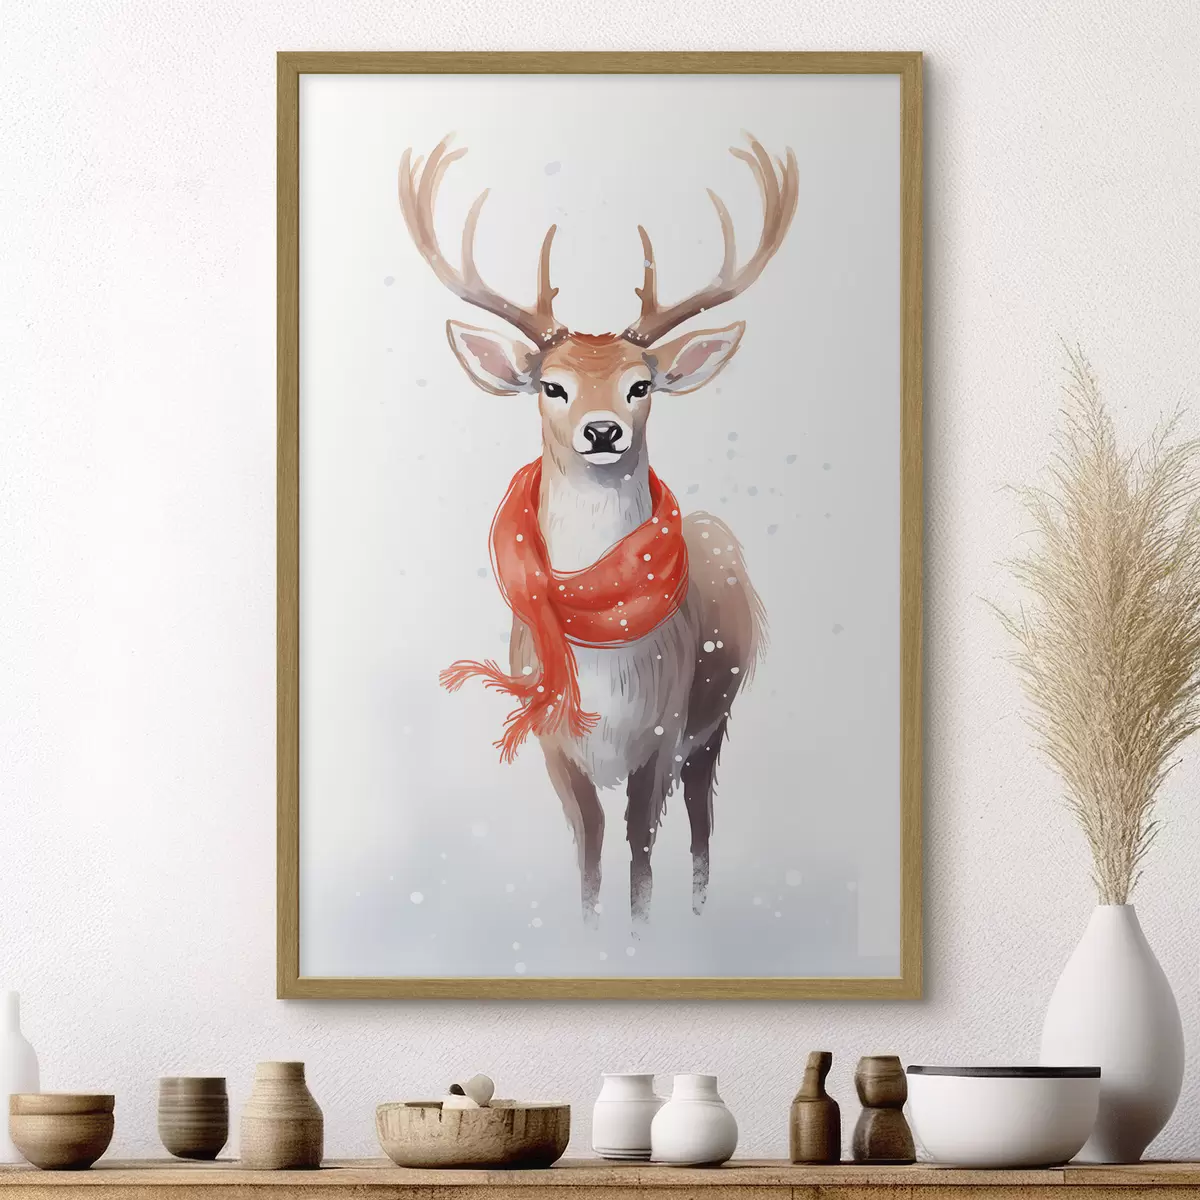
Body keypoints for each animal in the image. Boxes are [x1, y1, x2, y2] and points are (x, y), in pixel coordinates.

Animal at [397, 132, 798, 926]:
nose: (603, 430)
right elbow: (587, 855)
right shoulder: (556, 744)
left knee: (704, 824)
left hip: (715, 719)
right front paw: (588, 935)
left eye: (640, 385)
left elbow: (641, 857)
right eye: (553, 385)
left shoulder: (663, 732)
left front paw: (638, 938)